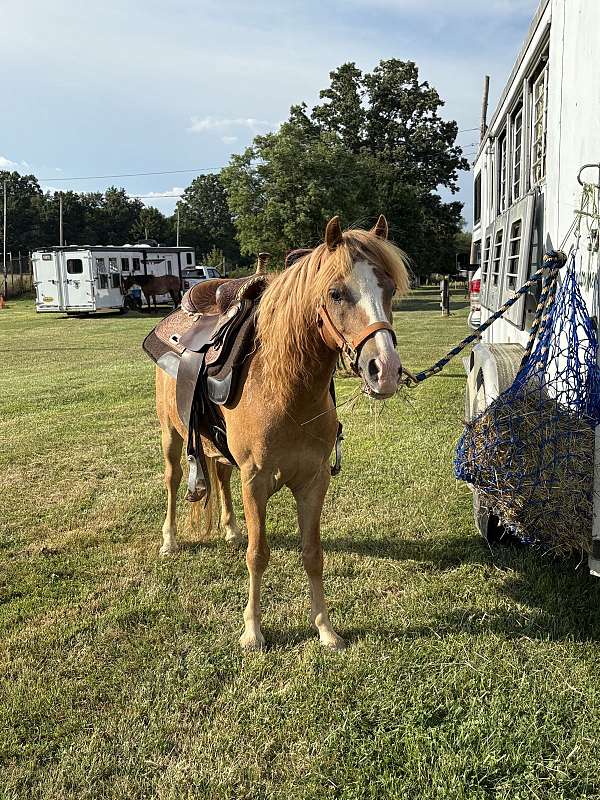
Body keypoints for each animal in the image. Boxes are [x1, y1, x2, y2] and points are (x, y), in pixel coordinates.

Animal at [155, 215, 410, 650]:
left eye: (389, 289)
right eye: (336, 293)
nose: (385, 370)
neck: (283, 387)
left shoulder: (314, 480)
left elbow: (313, 554)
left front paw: (325, 629)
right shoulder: (256, 480)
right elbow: (258, 555)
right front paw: (252, 632)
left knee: (221, 476)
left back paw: (230, 529)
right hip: (171, 435)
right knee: (173, 481)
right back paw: (170, 541)